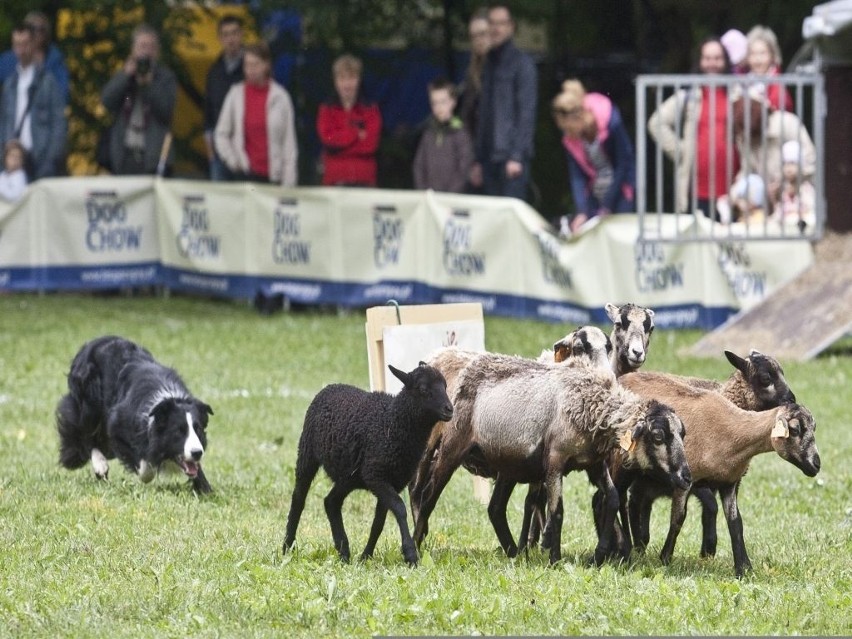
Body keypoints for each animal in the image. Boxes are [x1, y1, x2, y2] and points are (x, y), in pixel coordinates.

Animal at [56, 338, 215, 492]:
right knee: (84, 432)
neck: (166, 399)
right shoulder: (117, 424)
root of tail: (91, 343)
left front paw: (204, 488)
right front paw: (145, 471)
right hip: (88, 401)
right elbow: (146, 468)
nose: (197, 453)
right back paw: (100, 465)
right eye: (178, 431)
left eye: (198, 430)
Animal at [282, 362, 452, 568]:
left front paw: (366, 556)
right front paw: (410, 554)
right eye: (423, 389)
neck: (393, 422)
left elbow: (378, 522)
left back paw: (343, 550)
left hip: (349, 475)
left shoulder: (391, 481)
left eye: (445, 386)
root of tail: (330, 386)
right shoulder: (376, 476)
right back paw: (287, 547)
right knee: (299, 499)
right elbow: (399, 508)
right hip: (307, 454)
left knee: (331, 502)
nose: (449, 409)